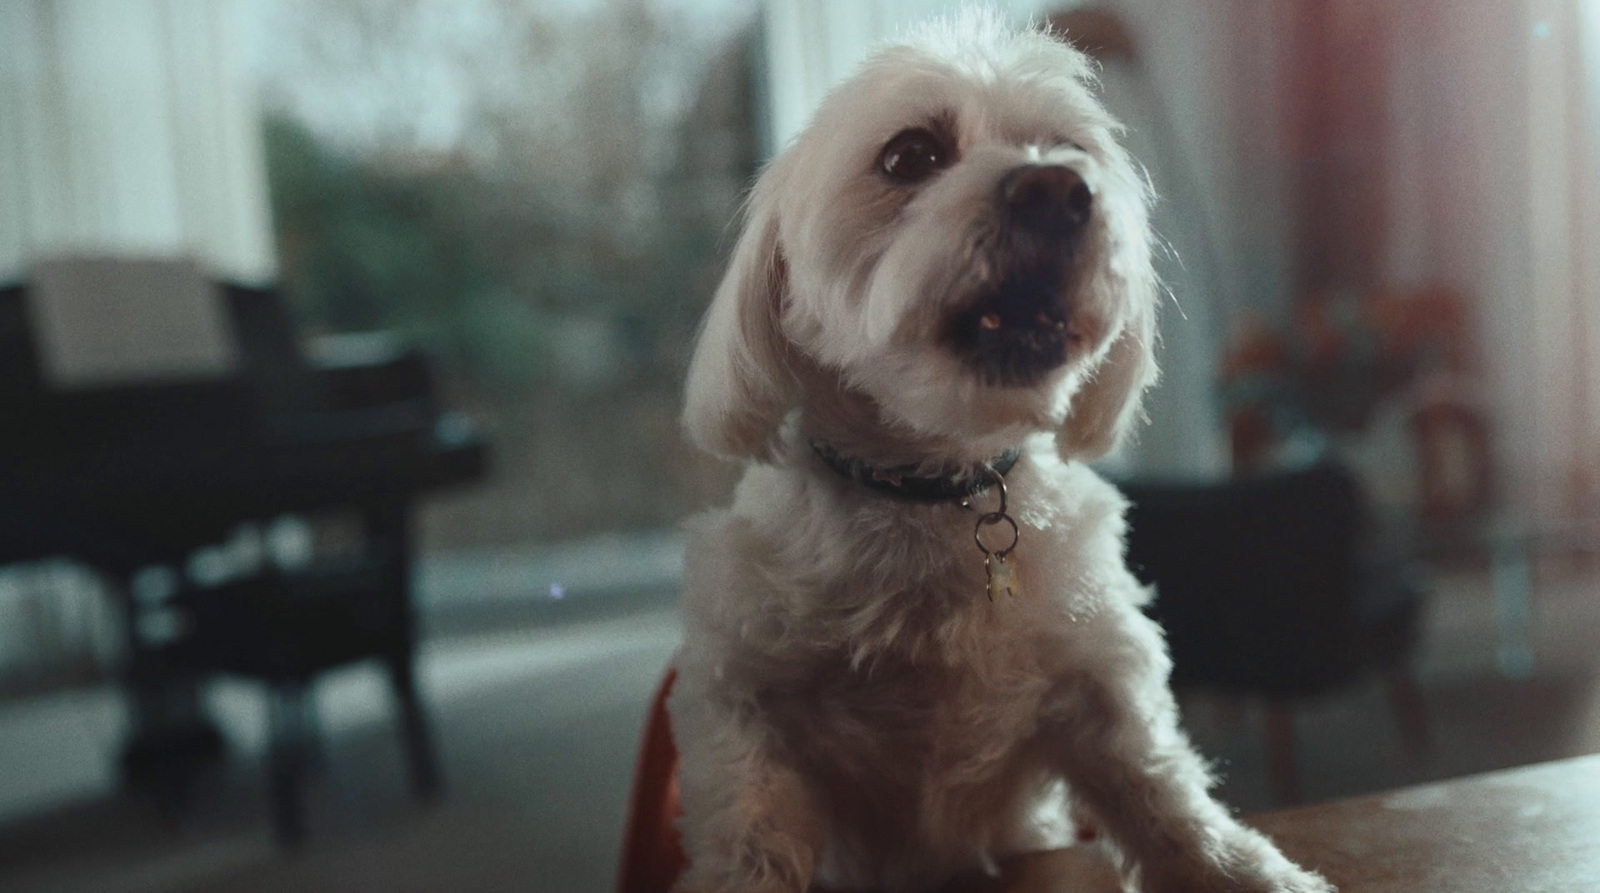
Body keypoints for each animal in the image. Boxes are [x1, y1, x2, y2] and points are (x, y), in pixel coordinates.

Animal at [668, 8, 1331, 893]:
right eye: (909, 155)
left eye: (1068, 148)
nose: (1056, 191)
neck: (936, 485)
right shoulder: (740, 692)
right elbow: (750, 823)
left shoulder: (1096, 675)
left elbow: (1158, 785)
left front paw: (1234, 866)